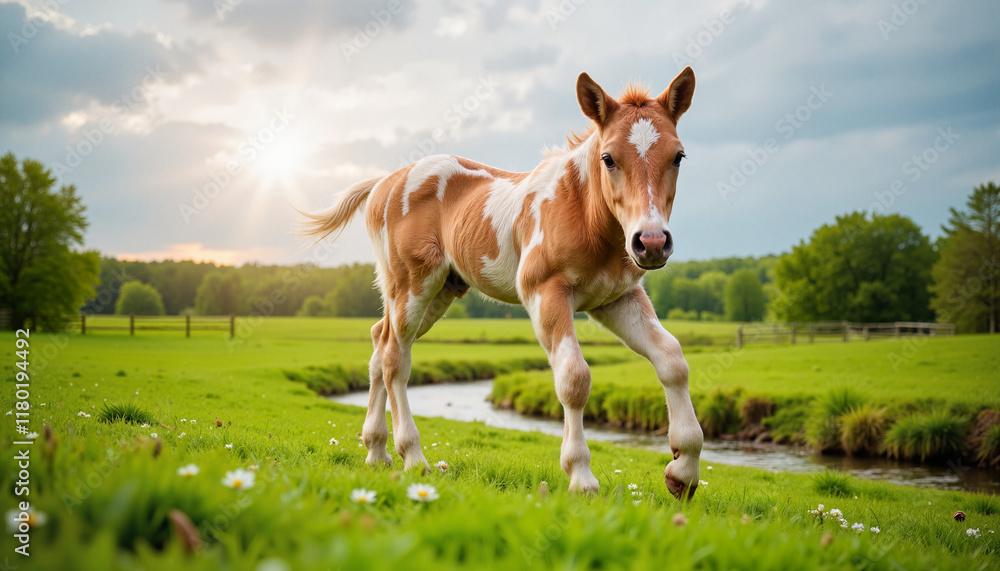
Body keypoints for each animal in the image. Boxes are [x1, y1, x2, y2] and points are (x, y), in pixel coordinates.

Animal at [301, 67, 703, 499]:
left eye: (678, 156)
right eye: (608, 158)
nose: (652, 242)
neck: (583, 212)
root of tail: (383, 183)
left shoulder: (617, 299)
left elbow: (672, 359)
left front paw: (683, 472)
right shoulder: (545, 294)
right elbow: (574, 378)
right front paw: (581, 477)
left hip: (439, 292)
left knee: (380, 341)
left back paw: (377, 451)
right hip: (411, 285)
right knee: (395, 357)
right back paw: (413, 457)